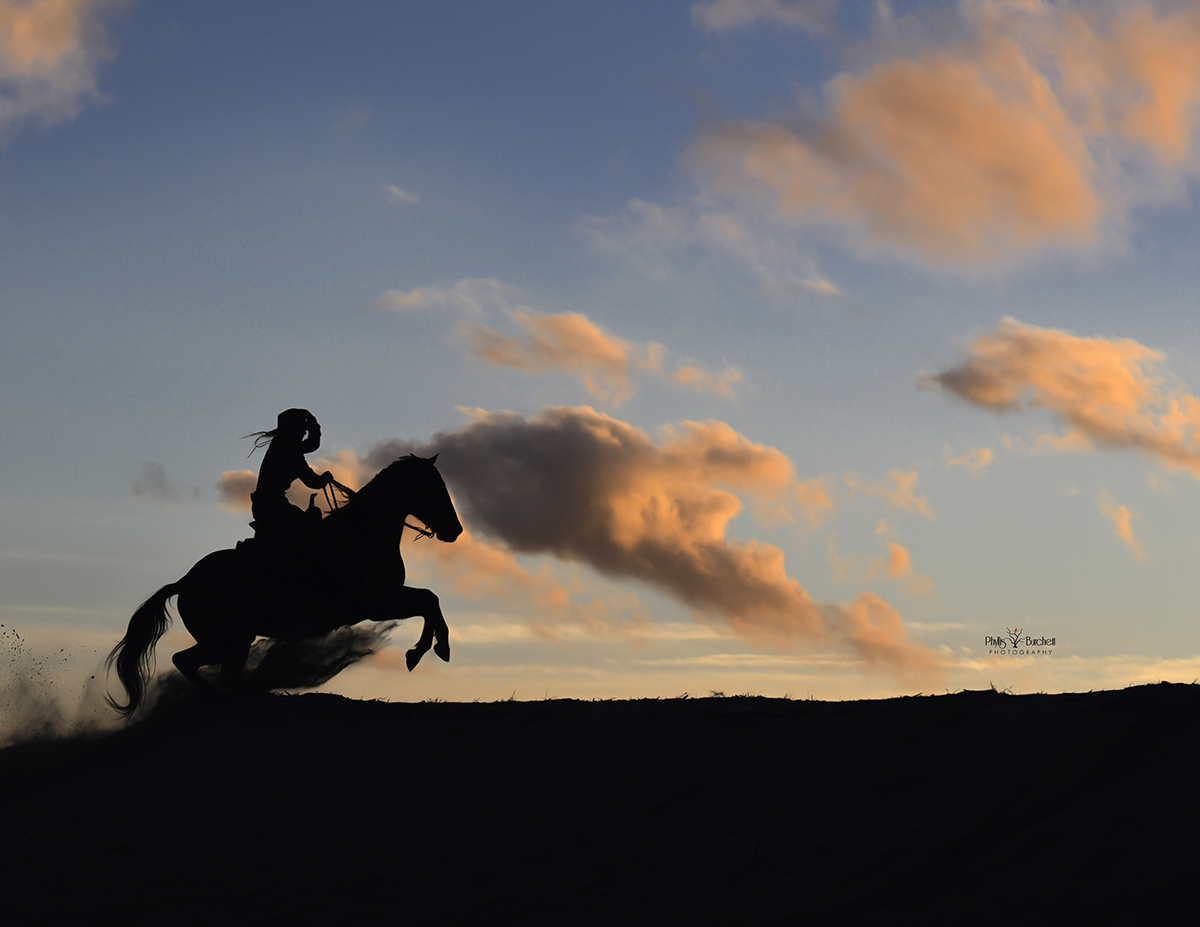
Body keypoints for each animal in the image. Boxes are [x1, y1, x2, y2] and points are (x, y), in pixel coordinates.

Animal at [105, 453, 460, 715]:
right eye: (433, 486)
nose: (455, 530)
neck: (362, 536)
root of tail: (185, 582)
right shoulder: (376, 601)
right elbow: (429, 600)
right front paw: (429, 650)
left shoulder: (383, 600)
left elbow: (430, 600)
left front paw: (427, 649)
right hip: (226, 640)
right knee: (184, 661)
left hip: (236, 642)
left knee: (218, 673)